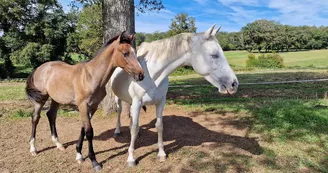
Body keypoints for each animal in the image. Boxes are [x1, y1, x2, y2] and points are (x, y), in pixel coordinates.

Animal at [25, 31, 144, 172]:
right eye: (125, 53)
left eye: (134, 52)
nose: (141, 75)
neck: (91, 77)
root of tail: (40, 68)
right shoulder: (83, 106)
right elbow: (89, 131)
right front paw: (94, 162)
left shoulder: (92, 107)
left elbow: (83, 129)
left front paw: (79, 155)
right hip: (41, 99)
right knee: (35, 118)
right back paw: (33, 148)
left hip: (55, 99)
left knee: (51, 115)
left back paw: (58, 144)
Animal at [110, 25, 238, 167]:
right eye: (214, 55)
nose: (234, 84)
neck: (151, 74)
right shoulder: (137, 102)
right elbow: (134, 128)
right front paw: (131, 159)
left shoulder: (160, 102)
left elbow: (159, 126)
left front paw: (161, 154)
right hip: (118, 99)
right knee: (120, 112)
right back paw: (117, 131)